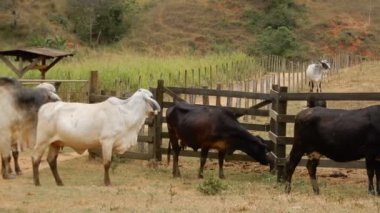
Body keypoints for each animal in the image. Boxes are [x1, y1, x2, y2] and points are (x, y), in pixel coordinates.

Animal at [31, 88, 161, 186]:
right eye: (151, 96)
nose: (158, 109)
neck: (125, 113)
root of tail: (44, 107)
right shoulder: (107, 142)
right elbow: (107, 163)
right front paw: (107, 182)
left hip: (55, 143)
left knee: (51, 161)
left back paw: (59, 182)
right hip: (42, 141)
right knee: (36, 158)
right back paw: (37, 182)